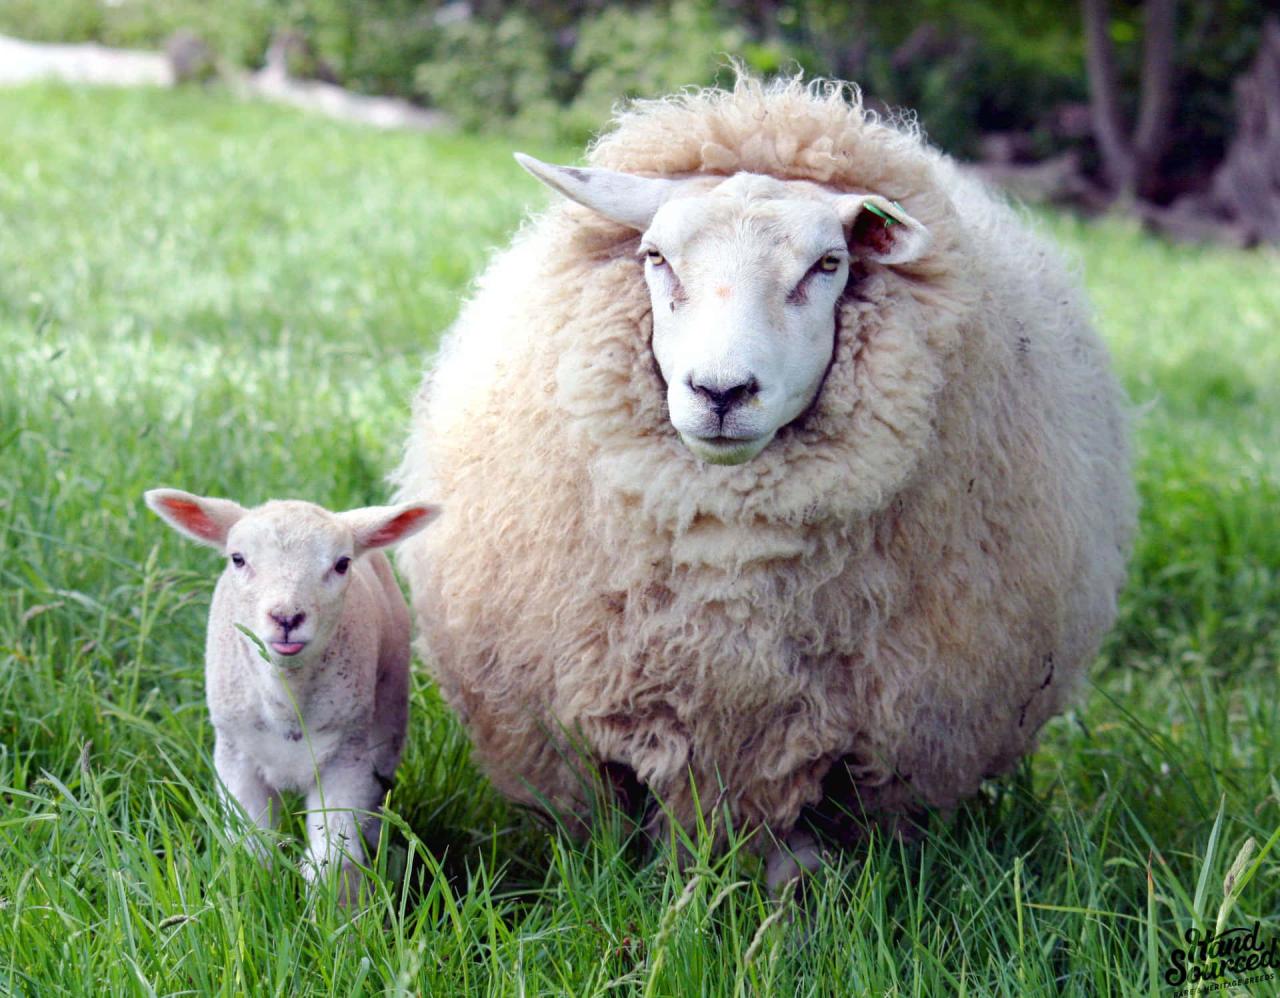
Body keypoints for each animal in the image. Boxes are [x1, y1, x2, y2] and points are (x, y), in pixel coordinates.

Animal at [145, 488, 438, 903]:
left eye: (342, 564)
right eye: (238, 559)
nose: (286, 618)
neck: (286, 699)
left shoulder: (346, 758)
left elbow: (332, 861)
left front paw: (342, 914)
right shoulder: (236, 757)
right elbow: (253, 851)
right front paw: (254, 900)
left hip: (387, 714)